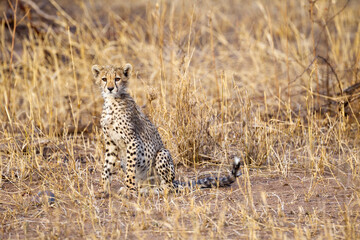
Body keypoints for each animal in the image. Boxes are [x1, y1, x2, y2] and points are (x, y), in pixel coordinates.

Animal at [92, 63, 242, 195]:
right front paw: (103, 190)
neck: (112, 101)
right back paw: (141, 189)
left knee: (169, 187)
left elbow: (130, 171)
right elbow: (106, 167)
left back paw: (149, 191)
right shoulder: (111, 143)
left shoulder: (132, 141)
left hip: (162, 153)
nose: (110, 88)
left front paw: (130, 191)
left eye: (117, 78)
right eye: (104, 79)